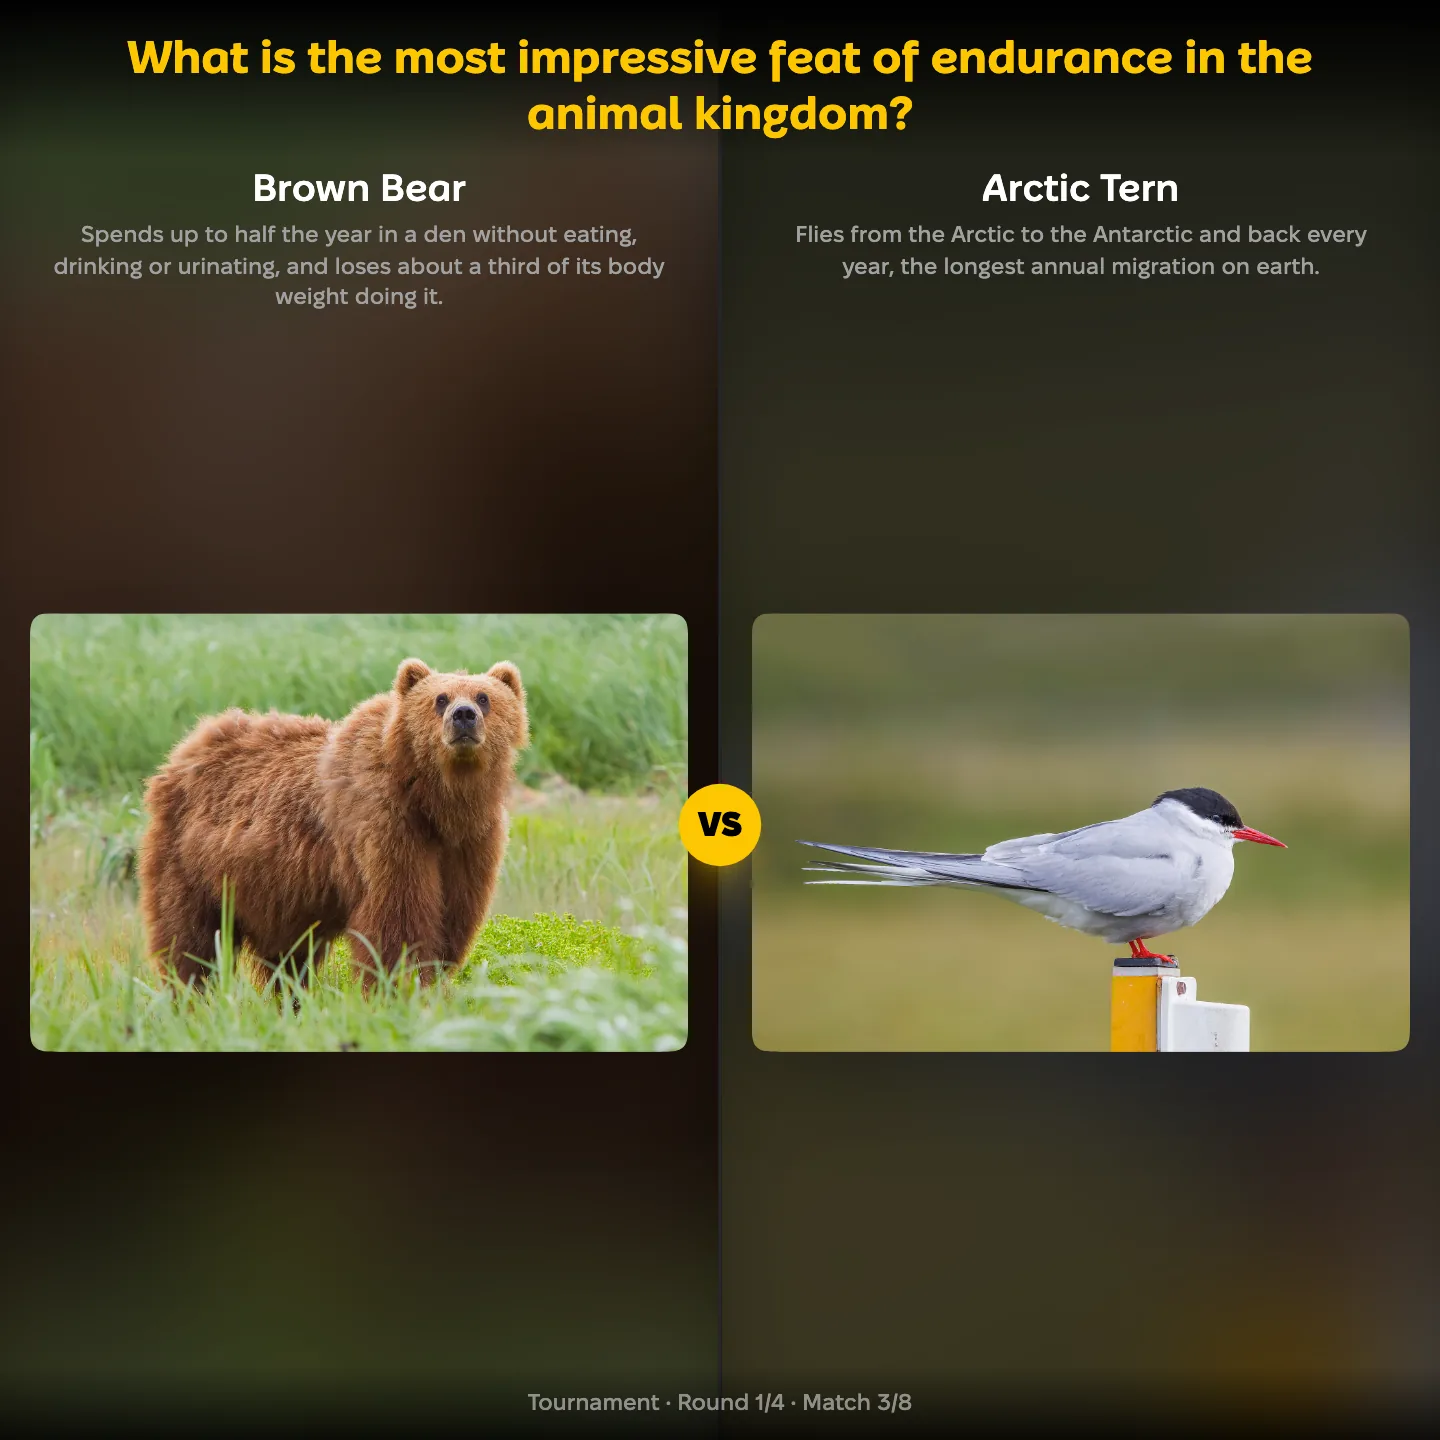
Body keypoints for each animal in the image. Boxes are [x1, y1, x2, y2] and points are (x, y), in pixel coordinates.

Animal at [139, 657, 529, 991]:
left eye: (484, 697)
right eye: (440, 698)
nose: (463, 715)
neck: (436, 802)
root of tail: (186, 748)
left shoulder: (470, 843)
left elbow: (452, 919)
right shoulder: (385, 827)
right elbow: (398, 922)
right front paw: (399, 986)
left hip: (276, 894)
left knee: (287, 960)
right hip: (191, 863)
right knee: (190, 941)